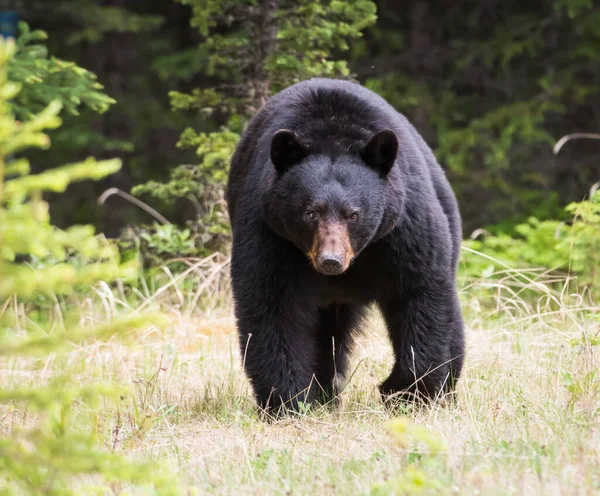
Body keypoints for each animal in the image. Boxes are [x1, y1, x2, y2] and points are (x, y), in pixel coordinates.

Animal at [227, 77, 466, 412]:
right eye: (310, 212)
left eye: (354, 214)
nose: (331, 260)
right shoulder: (270, 231)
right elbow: (273, 305)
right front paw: (289, 401)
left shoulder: (403, 229)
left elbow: (419, 294)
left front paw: (404, 392)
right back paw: (325, 394)